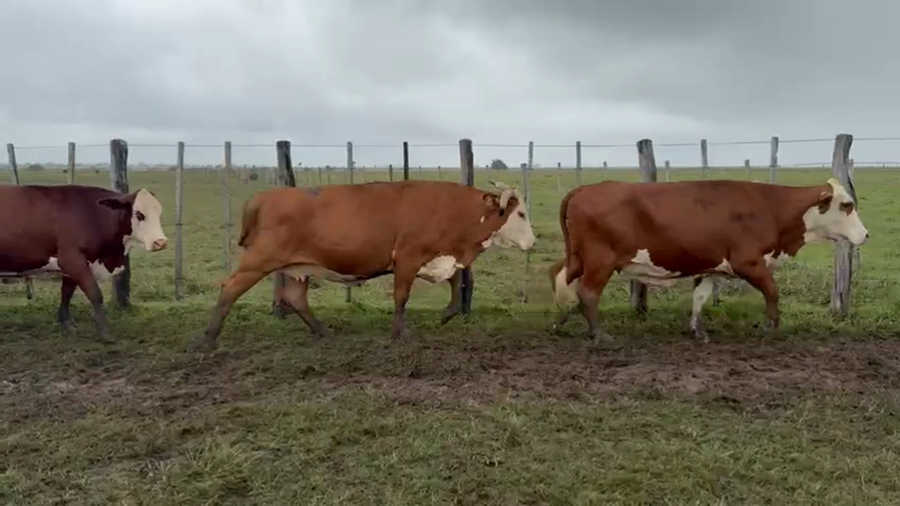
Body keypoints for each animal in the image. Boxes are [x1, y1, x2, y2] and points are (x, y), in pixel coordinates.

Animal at [0, 185, 168, 340]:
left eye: (159, 212)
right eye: (139, 214)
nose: (161, 242)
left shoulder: (71, 265)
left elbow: (67, 292)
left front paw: (66, 322)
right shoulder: (72, 261)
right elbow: (95, 294)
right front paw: (105, 332)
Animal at [189, 179, 536, 352]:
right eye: (520, 213)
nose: (533, 242)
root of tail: (263, 196)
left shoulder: (442, 256)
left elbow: (458, 279)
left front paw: (447, 313)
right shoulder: (407, 258)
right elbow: (402, 296)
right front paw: (399, 333)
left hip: (298, 267)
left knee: (296, 298)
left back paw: (322, 331)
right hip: (259, 261)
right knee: (229, 289)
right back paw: (207, 340)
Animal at [550, 178, 868, 342]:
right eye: (846, 204)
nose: (865, 234)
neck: (772, 208)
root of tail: (585, 188)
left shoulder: (712, 267)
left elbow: (700, 297)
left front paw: (697, 330)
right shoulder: (748, 263)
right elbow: (772, 292)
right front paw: (771, 327)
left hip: (582, 259)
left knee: (566, 282)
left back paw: (564, 322)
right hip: (600, 261)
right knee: (588, 292)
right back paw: (598, 334)